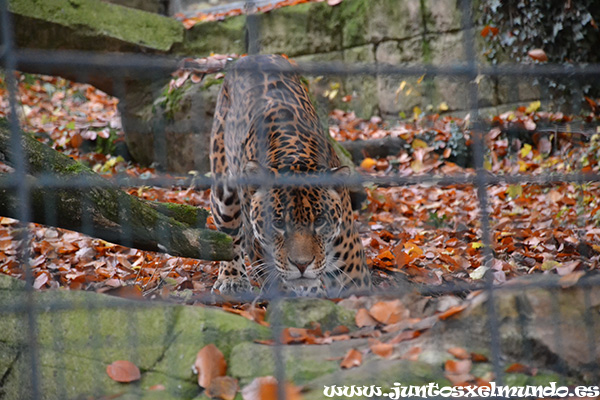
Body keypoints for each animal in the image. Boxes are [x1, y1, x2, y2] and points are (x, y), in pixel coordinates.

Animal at [210, 54, 370, 296]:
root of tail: (252, 56)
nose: (302, 265)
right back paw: (232, 278)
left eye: (320, 221)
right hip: (223, 192)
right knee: (228, 235)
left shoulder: (352, 266)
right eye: (277, 223)